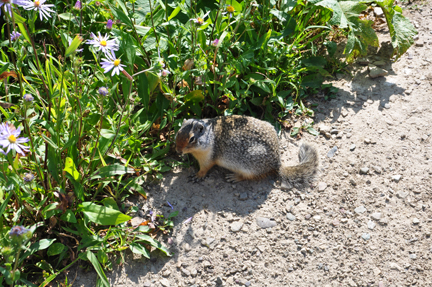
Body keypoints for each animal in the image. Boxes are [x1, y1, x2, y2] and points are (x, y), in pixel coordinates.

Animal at [174, 115, 318, 189]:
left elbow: (205, 168)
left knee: (249, 176)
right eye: (178, 132)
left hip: (248, 165)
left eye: (192, 139)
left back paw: (234, 177)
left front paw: (197, 176)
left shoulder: (208, 158)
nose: (178, 149)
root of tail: (277, 163)